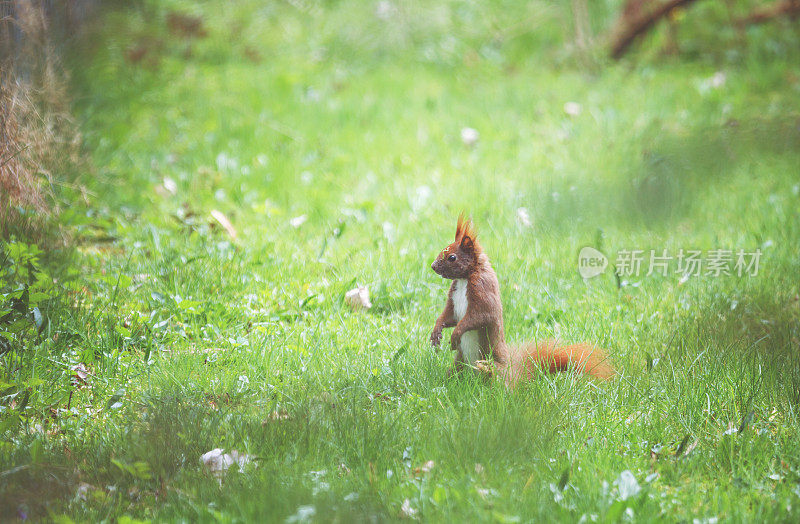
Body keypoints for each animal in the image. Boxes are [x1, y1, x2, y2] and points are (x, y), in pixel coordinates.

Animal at [432, 215, 612, 386]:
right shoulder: (454, 299)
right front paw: (436, 332)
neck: (465, 279)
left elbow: (478, 317)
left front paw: (455, 335)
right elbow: (448, 316)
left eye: (452, 257)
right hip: (459, 363)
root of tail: (515, 374)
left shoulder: (483, 292)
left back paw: (488, 374)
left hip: (494, 366)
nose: (433, 266)